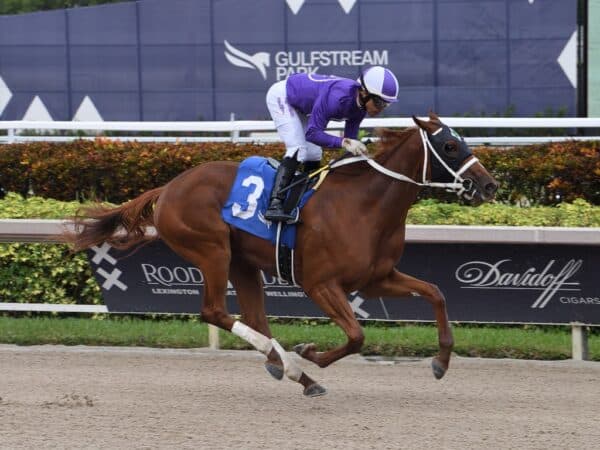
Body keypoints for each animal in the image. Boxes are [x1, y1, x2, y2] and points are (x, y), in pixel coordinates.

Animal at [64, 113, 496, 398]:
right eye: (450, 145)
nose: (489, 185)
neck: (363, 206)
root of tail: (168, 188)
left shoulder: (377, 278)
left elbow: (436, 292)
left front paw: (441, 361)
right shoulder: (320, 284)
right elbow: (357, 335)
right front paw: (310, 353)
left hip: (241, 263)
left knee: (254, 317)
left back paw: (289, 369)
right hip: (212, 250)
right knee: (215, 311)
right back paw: (293, 367)